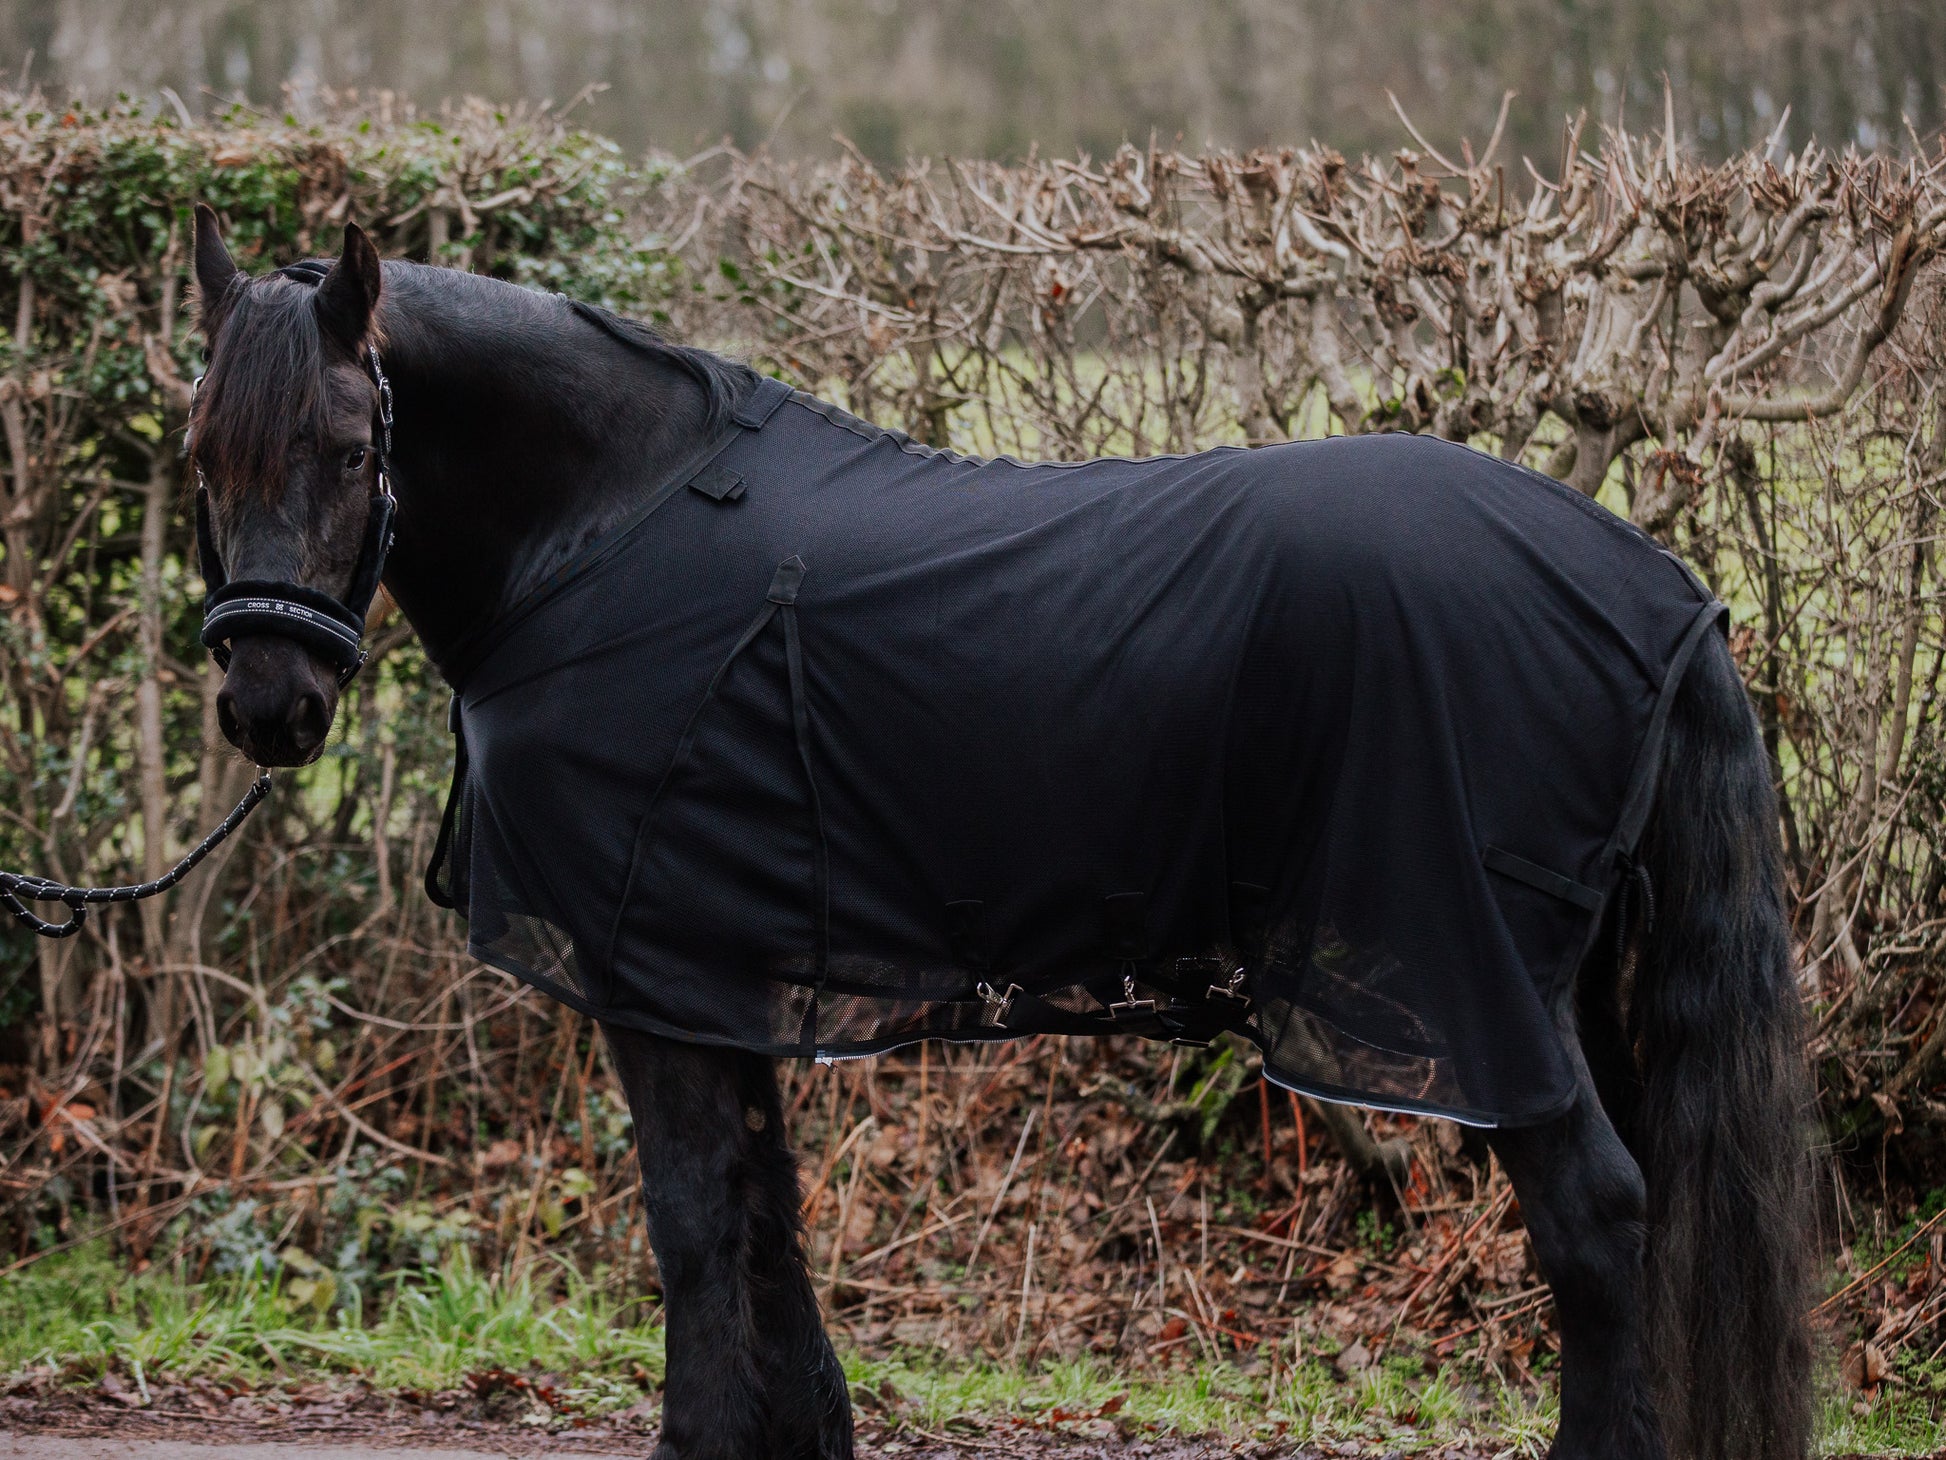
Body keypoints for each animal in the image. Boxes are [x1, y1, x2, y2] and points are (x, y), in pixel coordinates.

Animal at [184, 207, 1812, 1460]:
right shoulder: (714, 977)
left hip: (1469, 982)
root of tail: (1661, 587)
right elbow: (765, 1216)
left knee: (1596, 1218)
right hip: (1566, 986)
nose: (268, 705)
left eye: (350, 447)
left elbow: (692, 1221)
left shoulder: (646, 973)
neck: (607, 528)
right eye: (201, 452)